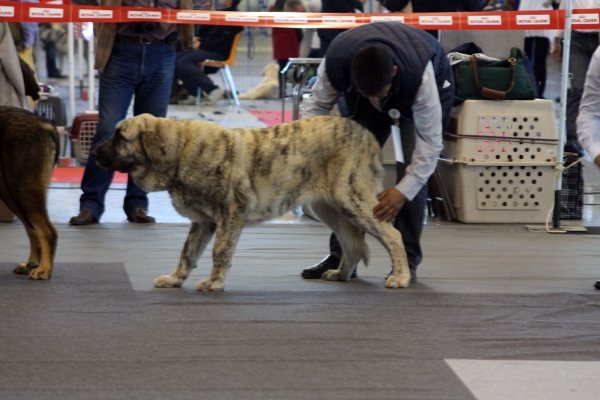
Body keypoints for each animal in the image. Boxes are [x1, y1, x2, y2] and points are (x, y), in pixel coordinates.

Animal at [0, 108, 59, 280]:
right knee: (32, 229)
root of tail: (45, 123)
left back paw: (44, 269)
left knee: (47, 231)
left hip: (21, 186)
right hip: (10, 191)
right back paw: (31, 264)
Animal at [95, 112, 412, 290]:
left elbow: (220, 251)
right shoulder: (203, 222)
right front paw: (176, 280)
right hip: (328, 208)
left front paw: (214, 283)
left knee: (393, 235)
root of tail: (366, 134)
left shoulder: (230, 214)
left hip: (352, 199)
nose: (95, 153)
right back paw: (341, 274)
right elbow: (187, 253)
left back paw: (401, 276)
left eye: (120, 136)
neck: (181, 151)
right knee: (351, 243)